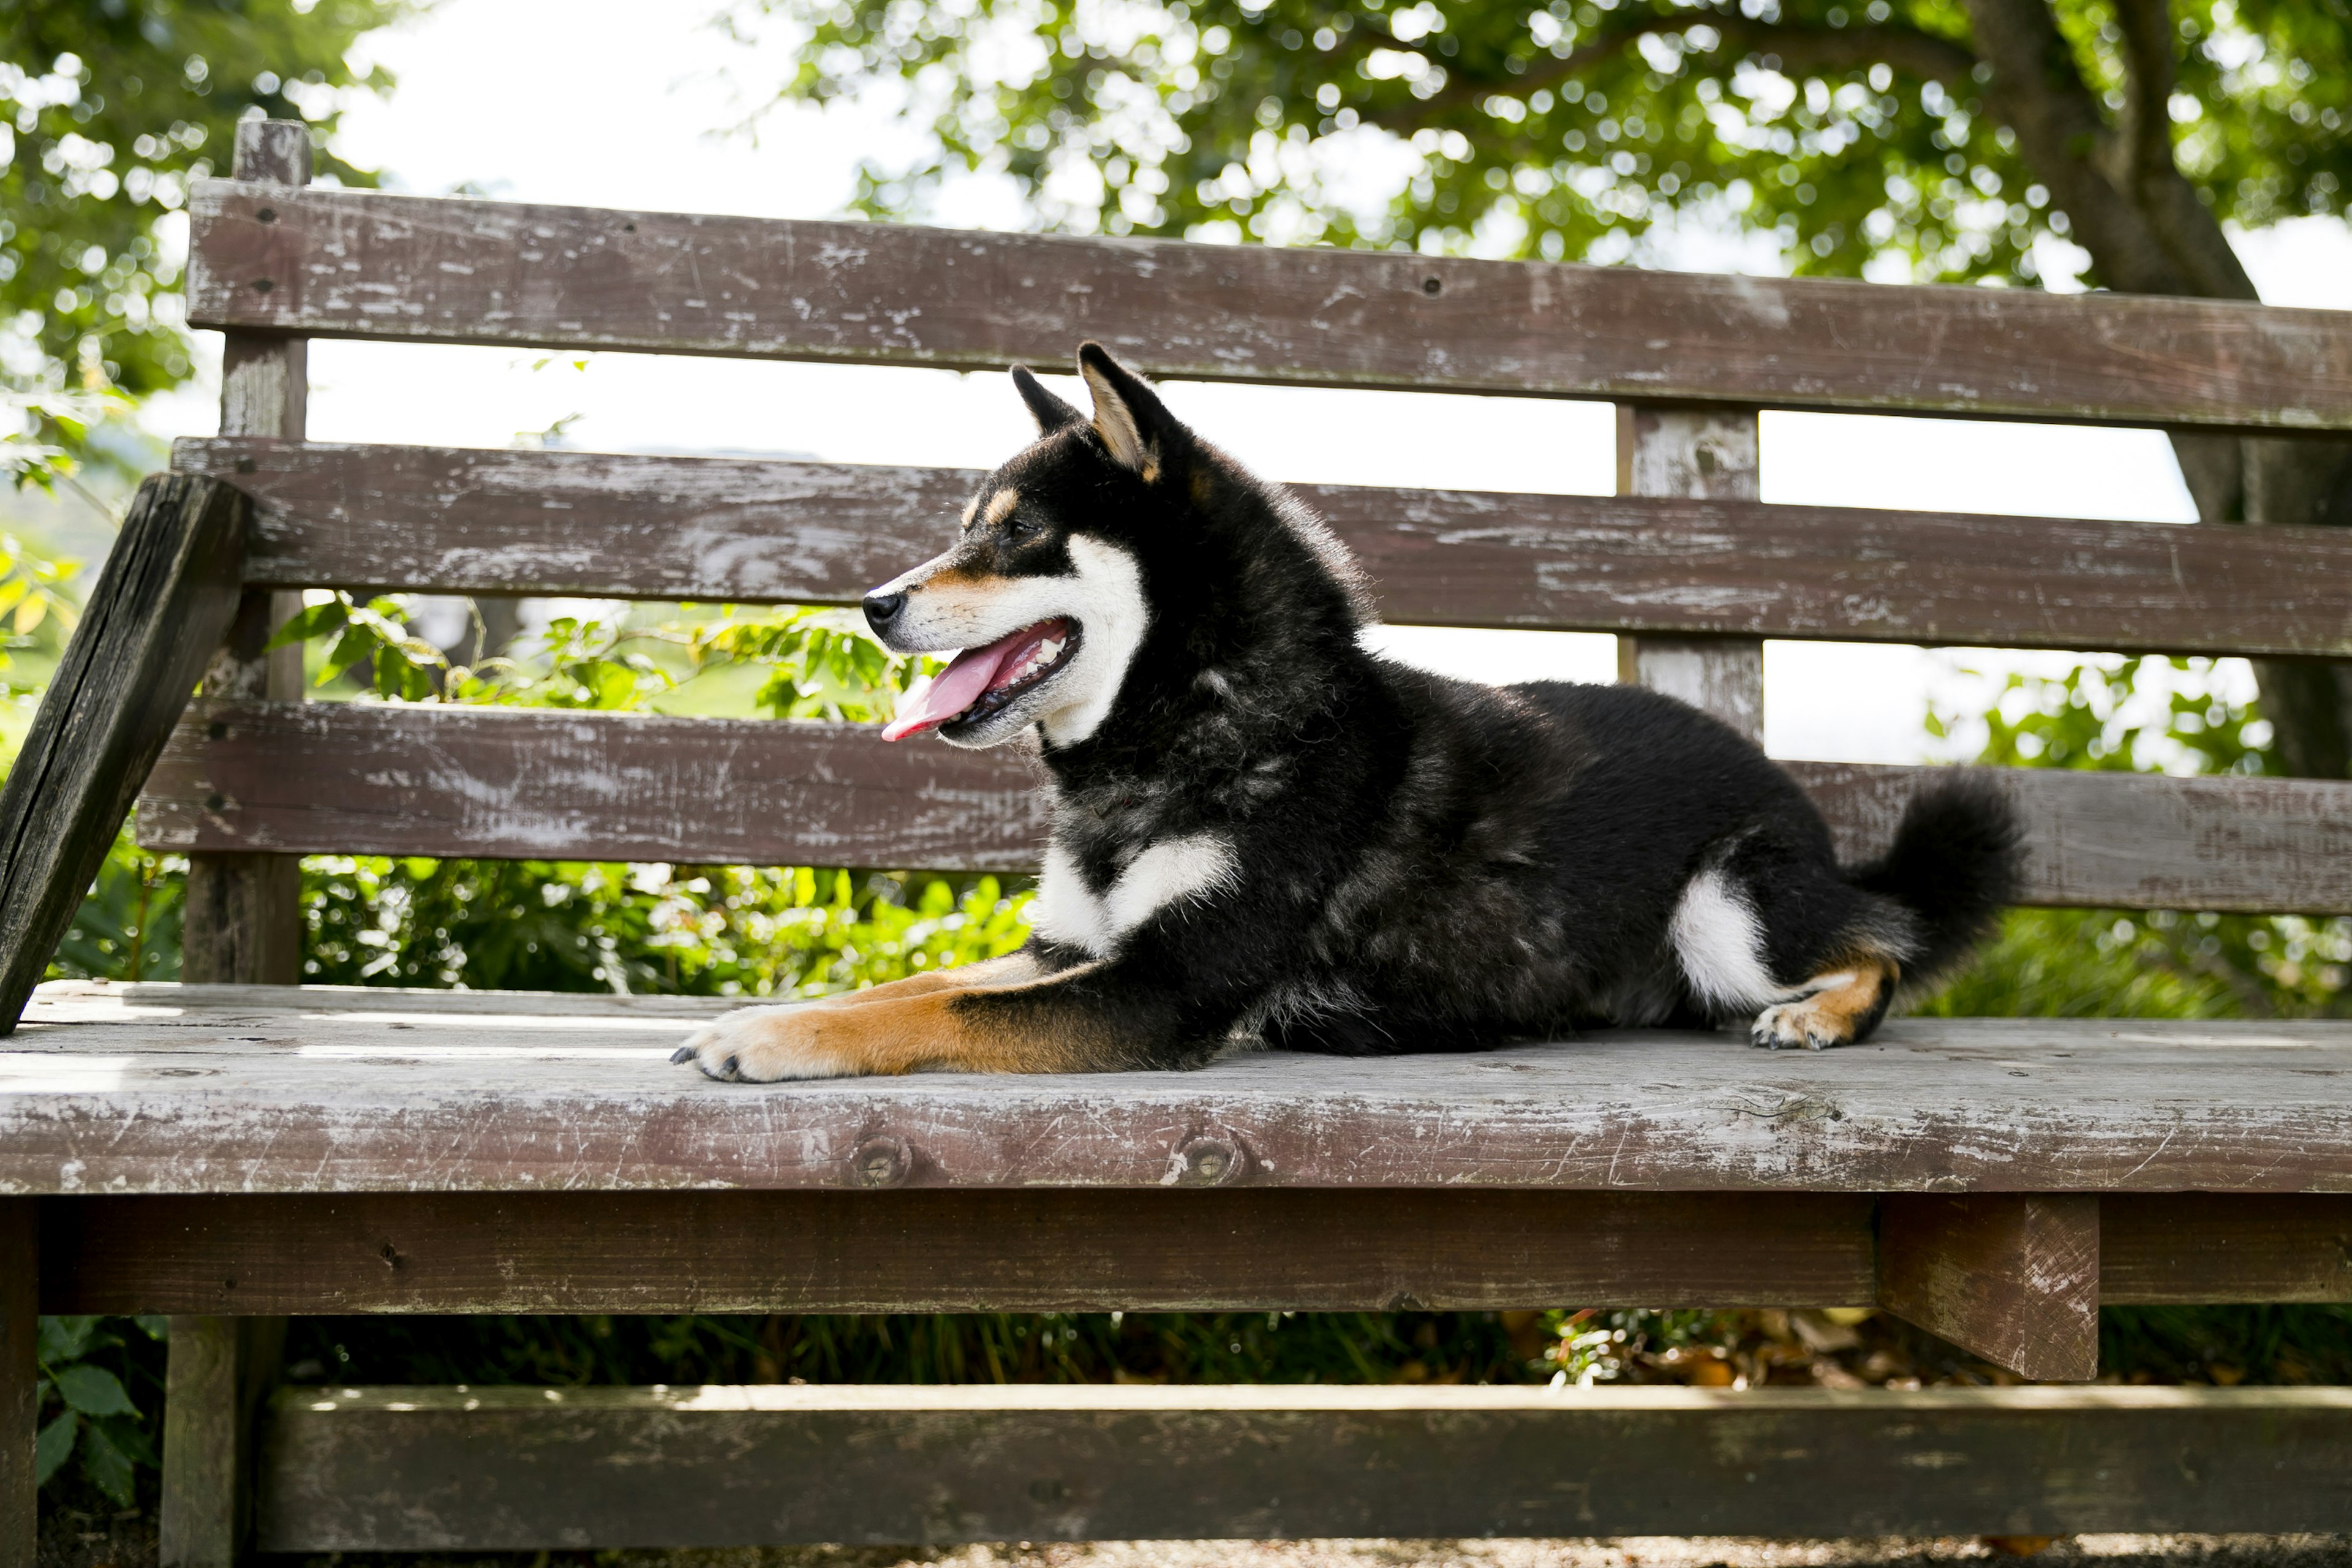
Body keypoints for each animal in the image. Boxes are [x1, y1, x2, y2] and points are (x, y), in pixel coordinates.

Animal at [668, 345, 2022, 1086]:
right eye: (967, 528)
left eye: (1014, 535)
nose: (873, 603)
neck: (1194, 723)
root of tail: (1799, 804)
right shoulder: (1071, 949)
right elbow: (913, 988)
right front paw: (770, 1017)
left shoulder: (1166, 983)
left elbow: (940, 1011)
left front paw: (770, 1044)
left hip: (1726, 909)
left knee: (1882, 952)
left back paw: (1819, 1013)